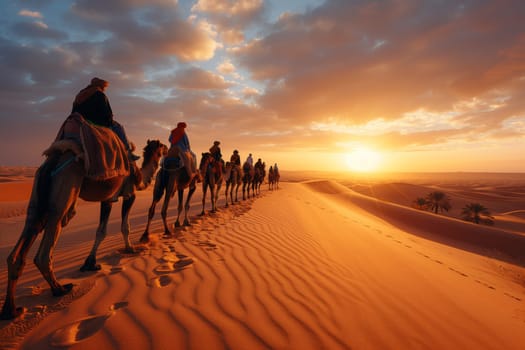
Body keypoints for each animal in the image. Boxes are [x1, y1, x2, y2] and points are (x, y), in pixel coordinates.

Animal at [0, 137, 164, 320]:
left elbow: (100, 231)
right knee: (50, 236)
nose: (167, 149)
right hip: (65, 189)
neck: (139, 176)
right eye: (161, 147)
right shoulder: (128, 194)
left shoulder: (107, 198)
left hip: (37, 197)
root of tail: (55, 158)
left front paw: (90, 263)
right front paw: (130, 249)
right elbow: (123, 226)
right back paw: (59, 289)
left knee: (28, 230)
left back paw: (11, 310)